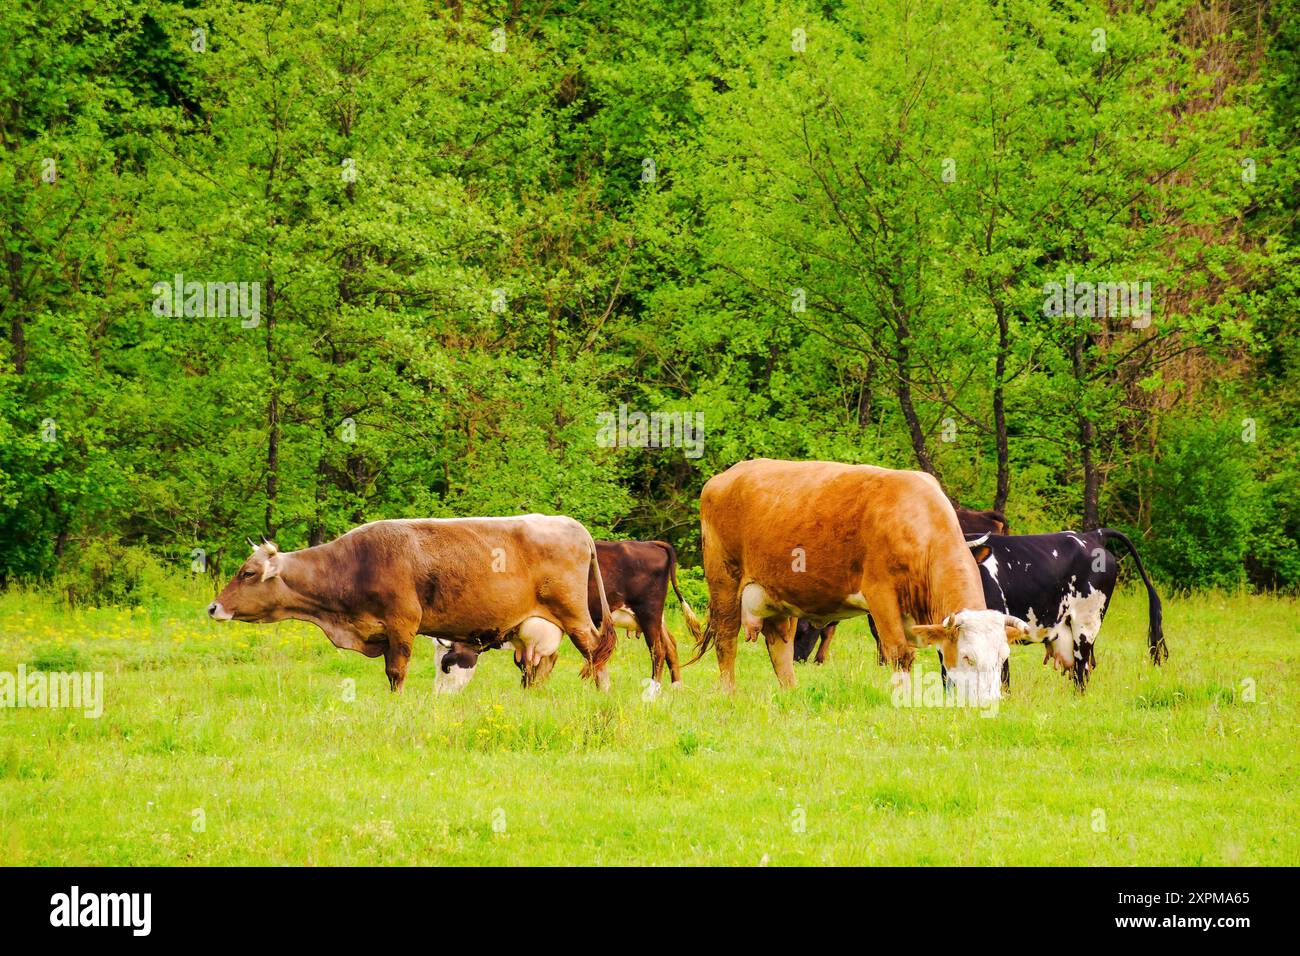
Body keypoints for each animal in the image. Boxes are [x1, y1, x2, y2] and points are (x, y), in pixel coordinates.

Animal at [208, 515, 617, 692]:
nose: (213, 607)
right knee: (542, 666)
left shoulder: (402, 625)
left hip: (574, 614)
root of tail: (571, 524)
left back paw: (601, 696)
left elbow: (397, 671)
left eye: (247, 572)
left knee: (595, 652)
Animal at [433, 539, 704, 695]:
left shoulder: (534, 631)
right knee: (671, 646)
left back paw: (653, 690)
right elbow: (533, 665)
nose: (437, 695)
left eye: (446, 663)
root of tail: (651, 543)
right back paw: (676, 687)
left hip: (648, 612)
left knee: (657, 650)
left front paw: (529, 691)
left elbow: (531, 664)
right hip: (654, 617)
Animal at [688, 458, 1034, 703]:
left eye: (1003, 657)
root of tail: (724, 477)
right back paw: (729, 694)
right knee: (727, 640)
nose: (989, 703)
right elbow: (899, 652)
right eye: (967, 656)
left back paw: (791, 693)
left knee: (780, 647)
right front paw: (903, 699)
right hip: (724, 582)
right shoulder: (880, 594)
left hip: (775, 594)